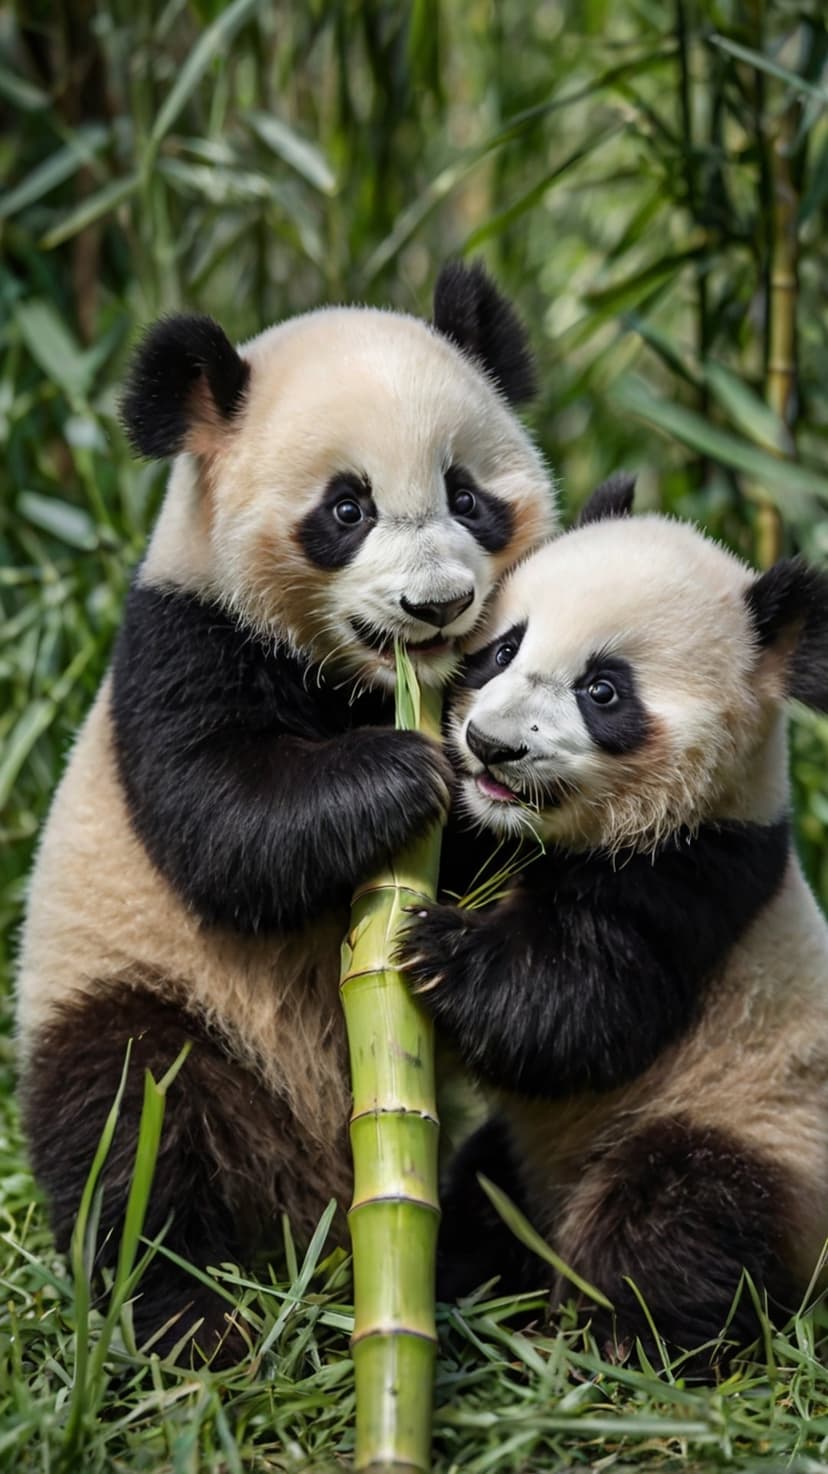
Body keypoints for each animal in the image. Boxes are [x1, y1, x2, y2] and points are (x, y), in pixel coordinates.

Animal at [16, 264, 555, 1360]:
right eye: (346, 508)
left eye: (466, 496)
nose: (437, 606)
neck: (360, 682)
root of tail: (313, 1204)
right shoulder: (182, 640)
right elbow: (222, 825)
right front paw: (400, 771)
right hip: (147, 993)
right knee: (132, 1124)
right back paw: (190, 1319)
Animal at [400, 474, 828, 1371]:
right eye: (505, 648)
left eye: (603, 691)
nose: (491, 746)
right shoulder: (489, 835)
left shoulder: (699, 878)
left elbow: (581, 1011)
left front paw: (440, 950)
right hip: (527, 1161)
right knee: (485, 1191)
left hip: (754, 1128)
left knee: (670, 1220)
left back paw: (613, 1351)